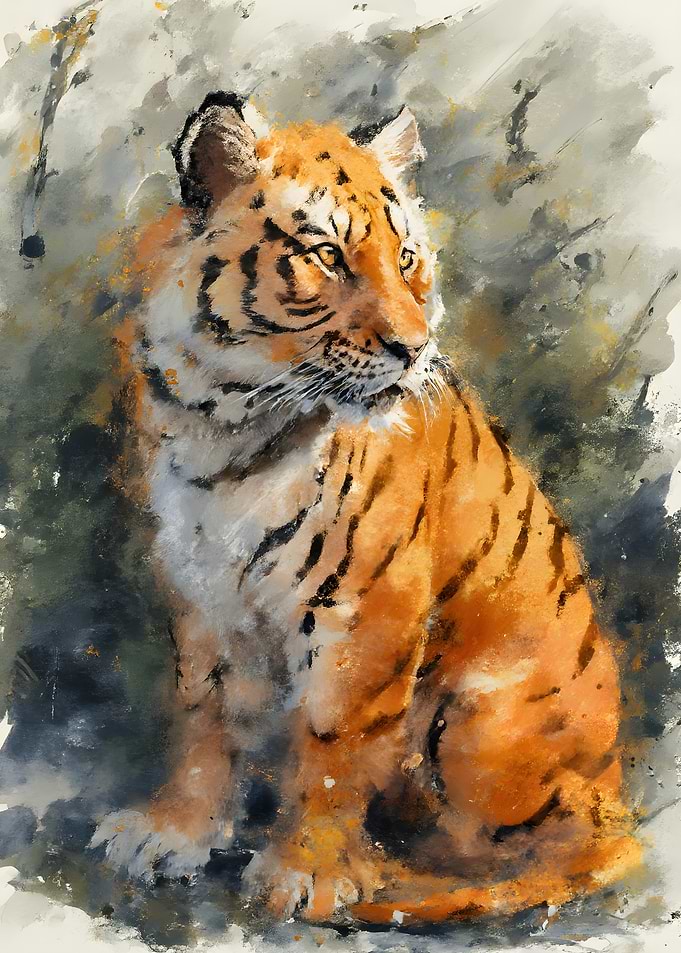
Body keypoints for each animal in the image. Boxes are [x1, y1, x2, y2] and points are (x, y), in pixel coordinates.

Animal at [90, 91, 641, 924]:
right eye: (326, 256)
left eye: (406, 257)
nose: (412, 348)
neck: (230, 424)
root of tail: (616, 793)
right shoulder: (200, 585)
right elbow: (202, 715)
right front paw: (174, 832)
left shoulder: (365, 606)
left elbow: (332, 740)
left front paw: (308, 873)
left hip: (480, 722)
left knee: (529, 854)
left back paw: (395, 877)